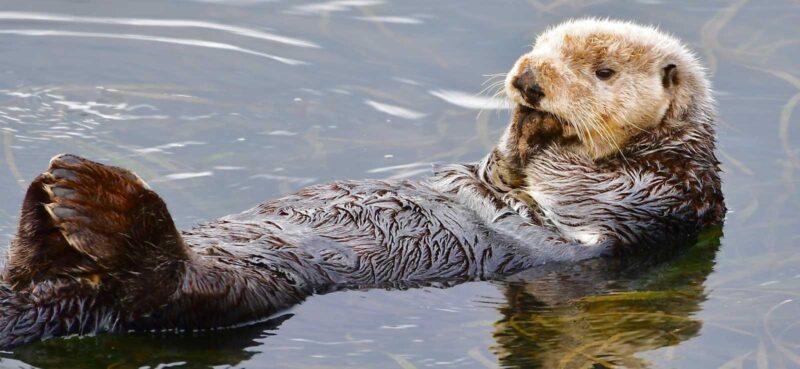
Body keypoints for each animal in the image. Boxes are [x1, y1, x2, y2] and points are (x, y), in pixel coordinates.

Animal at [0, 19, 724, 348]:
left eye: (603, 70)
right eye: (543, 44)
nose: (529, 77)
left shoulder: (659, 194)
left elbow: (573, 186)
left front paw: (542, 130)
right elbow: (499, 169)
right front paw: (520, 126)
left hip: (237, 296)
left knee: (168, 287)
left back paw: (87, 197)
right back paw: (50, 199)